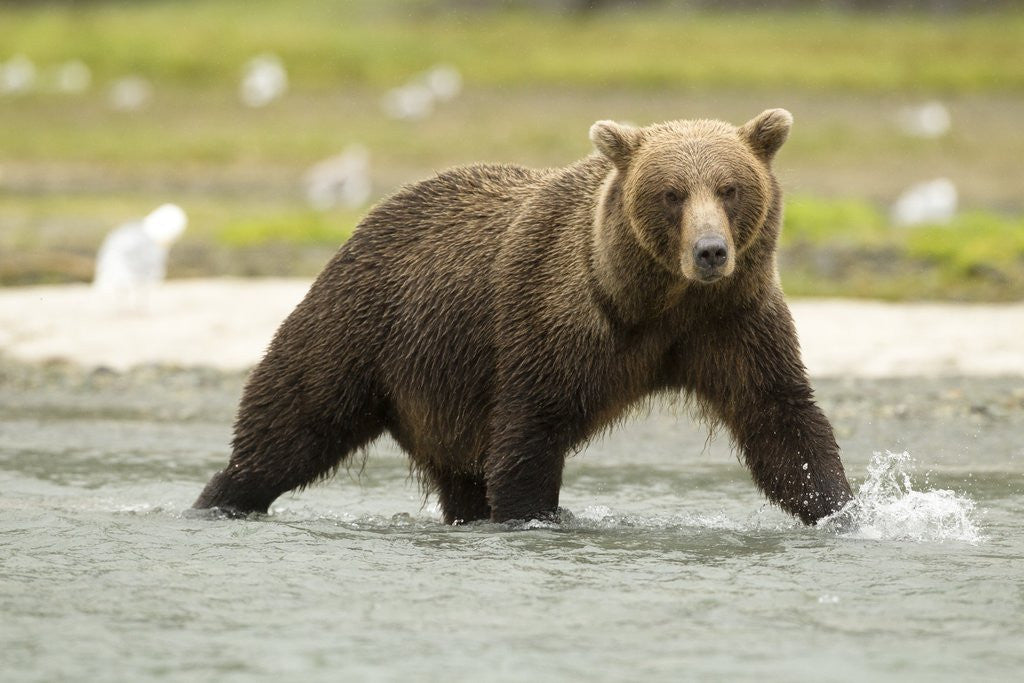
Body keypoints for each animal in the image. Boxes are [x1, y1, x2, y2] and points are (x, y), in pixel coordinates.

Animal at [194, 108, 853, 525]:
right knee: (293, 419)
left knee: (456, 474)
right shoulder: (554, 321)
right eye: (671, 193)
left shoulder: (731, 322)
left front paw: (845, 510)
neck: (654, 301)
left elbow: (779, 419)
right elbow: (528, 432)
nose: (711, 251)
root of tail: (368, 218)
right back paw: (220, 498)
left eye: (729, 187)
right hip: (362, 325)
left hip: (437, 388)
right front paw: (532, 518)